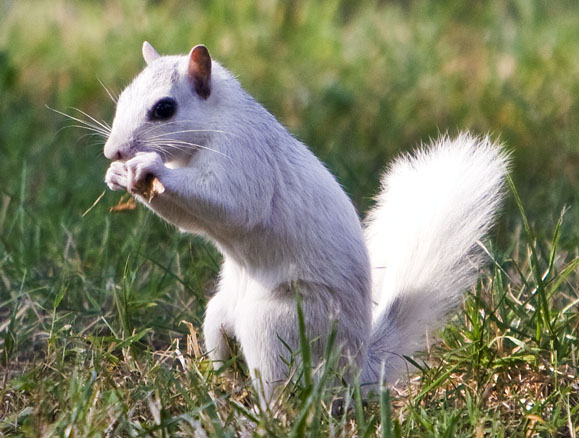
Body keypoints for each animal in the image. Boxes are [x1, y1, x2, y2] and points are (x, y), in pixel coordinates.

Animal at [103, 42, 508, 404]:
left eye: (164, 109)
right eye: (122, 98)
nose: (113, 151)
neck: (217, 122)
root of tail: (353, 367)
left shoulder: (245, 157)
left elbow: (232, 205)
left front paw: (148, 166)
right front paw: (118, 175)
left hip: (277, 323)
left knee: (281, 384)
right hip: (219, 314)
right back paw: (223, 386)